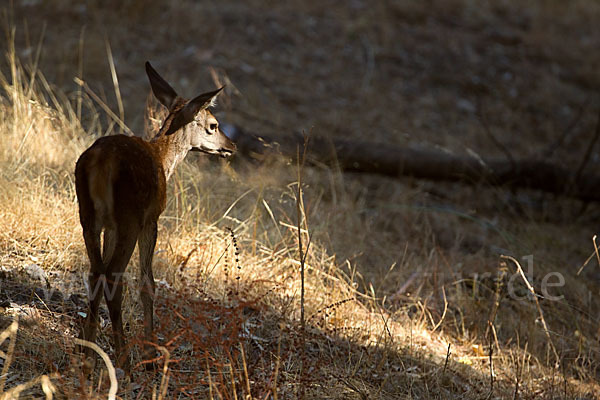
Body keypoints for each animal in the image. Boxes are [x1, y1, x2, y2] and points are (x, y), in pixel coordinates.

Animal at [74, 61, 236, 372]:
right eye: (213, 125)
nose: (231, 146)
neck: (164, 159)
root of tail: (101, 162)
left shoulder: (111, 226)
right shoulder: (151, 219)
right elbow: (147, 281)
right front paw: (150, 354)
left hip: (89, 215)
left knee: (95, 272)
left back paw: (88, 354)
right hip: (129, 217)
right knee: (113, 275)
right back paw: (124, 358)